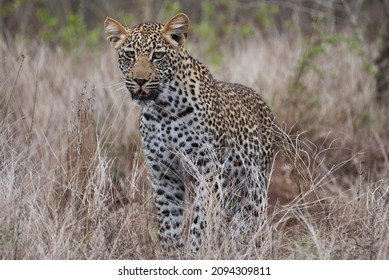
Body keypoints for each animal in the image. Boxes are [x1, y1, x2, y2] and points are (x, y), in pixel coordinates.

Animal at [103, 12, 272, 254]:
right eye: (129, 54)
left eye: (158, 55)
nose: (140, 81)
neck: (163, 109)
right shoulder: (163, 173)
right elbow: (167, 223)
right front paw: (171, 255)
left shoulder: (209, 171)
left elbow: (202, 220)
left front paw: (197, 252)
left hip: (253, 188)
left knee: (250, 224)